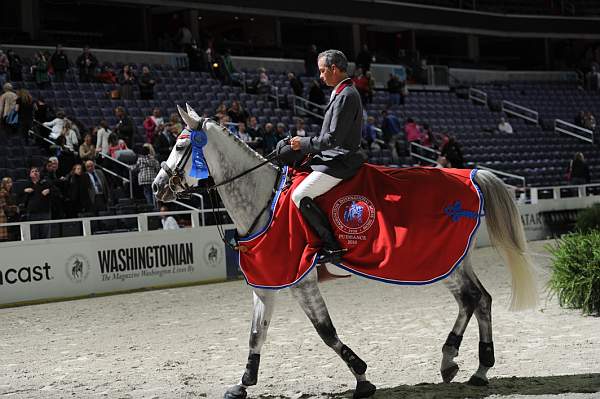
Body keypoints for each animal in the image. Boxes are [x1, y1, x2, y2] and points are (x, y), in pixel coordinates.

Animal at [152, 105, 536, 399]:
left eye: (181, 145)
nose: (156, 187)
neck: (264, 201)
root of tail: (469, 174)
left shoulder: (301, 282)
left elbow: (326, 332)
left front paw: (362, 377)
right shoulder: (267, 283)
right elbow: (256, 334)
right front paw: (243, 383)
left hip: (443, 261)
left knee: (474, 298)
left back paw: (465, 364)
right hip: (451, 261)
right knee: (478, 299)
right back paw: (466, 366)